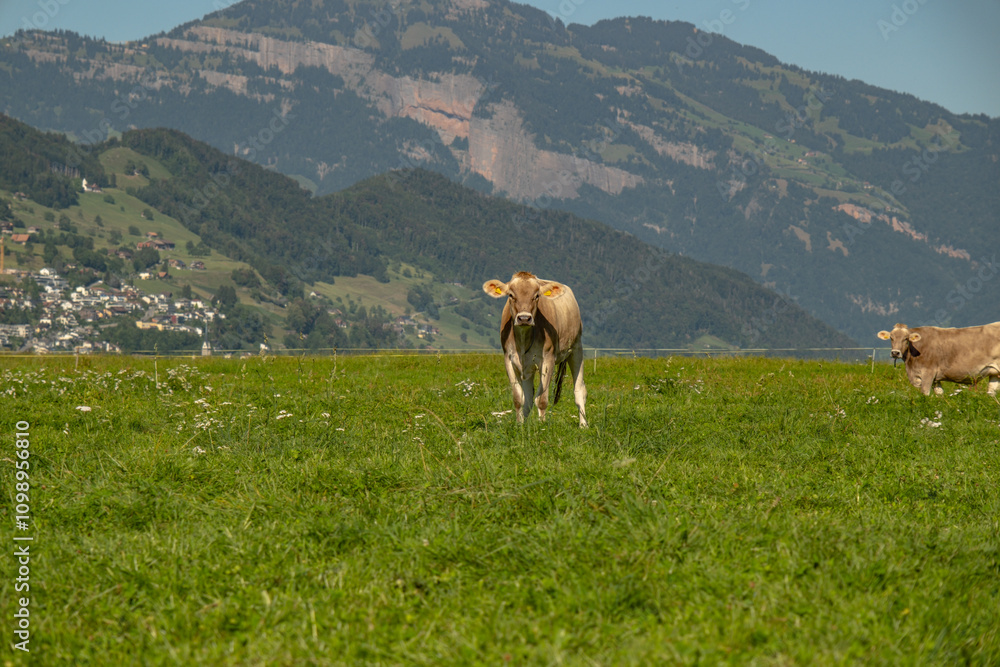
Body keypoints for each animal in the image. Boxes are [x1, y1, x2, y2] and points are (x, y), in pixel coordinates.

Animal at [483, 271, 588, 426]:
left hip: (576, 348)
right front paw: (519, 425)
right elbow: (519, 398)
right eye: (511, 295)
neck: (523, 340)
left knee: (579, 390)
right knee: (528, 397)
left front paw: (542, 426)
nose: (524, 318)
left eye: (537, 295)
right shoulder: (509, 359)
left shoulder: (548, 359)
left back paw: (583, 425)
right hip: (528, 367)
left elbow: (542, 399)